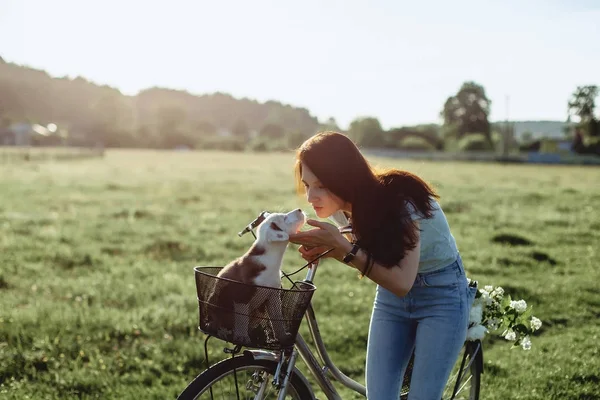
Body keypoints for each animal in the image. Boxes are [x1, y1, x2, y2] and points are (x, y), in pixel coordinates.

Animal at [209, 209, 308, 344]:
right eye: (284, 218)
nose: (300, 209)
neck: (270, 257)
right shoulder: (242, 295)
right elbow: (242, 319)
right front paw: (242, 337)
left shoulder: (273, 295)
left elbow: (277, 319)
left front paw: (282, 336)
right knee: (217, 321)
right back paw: (223, 331)